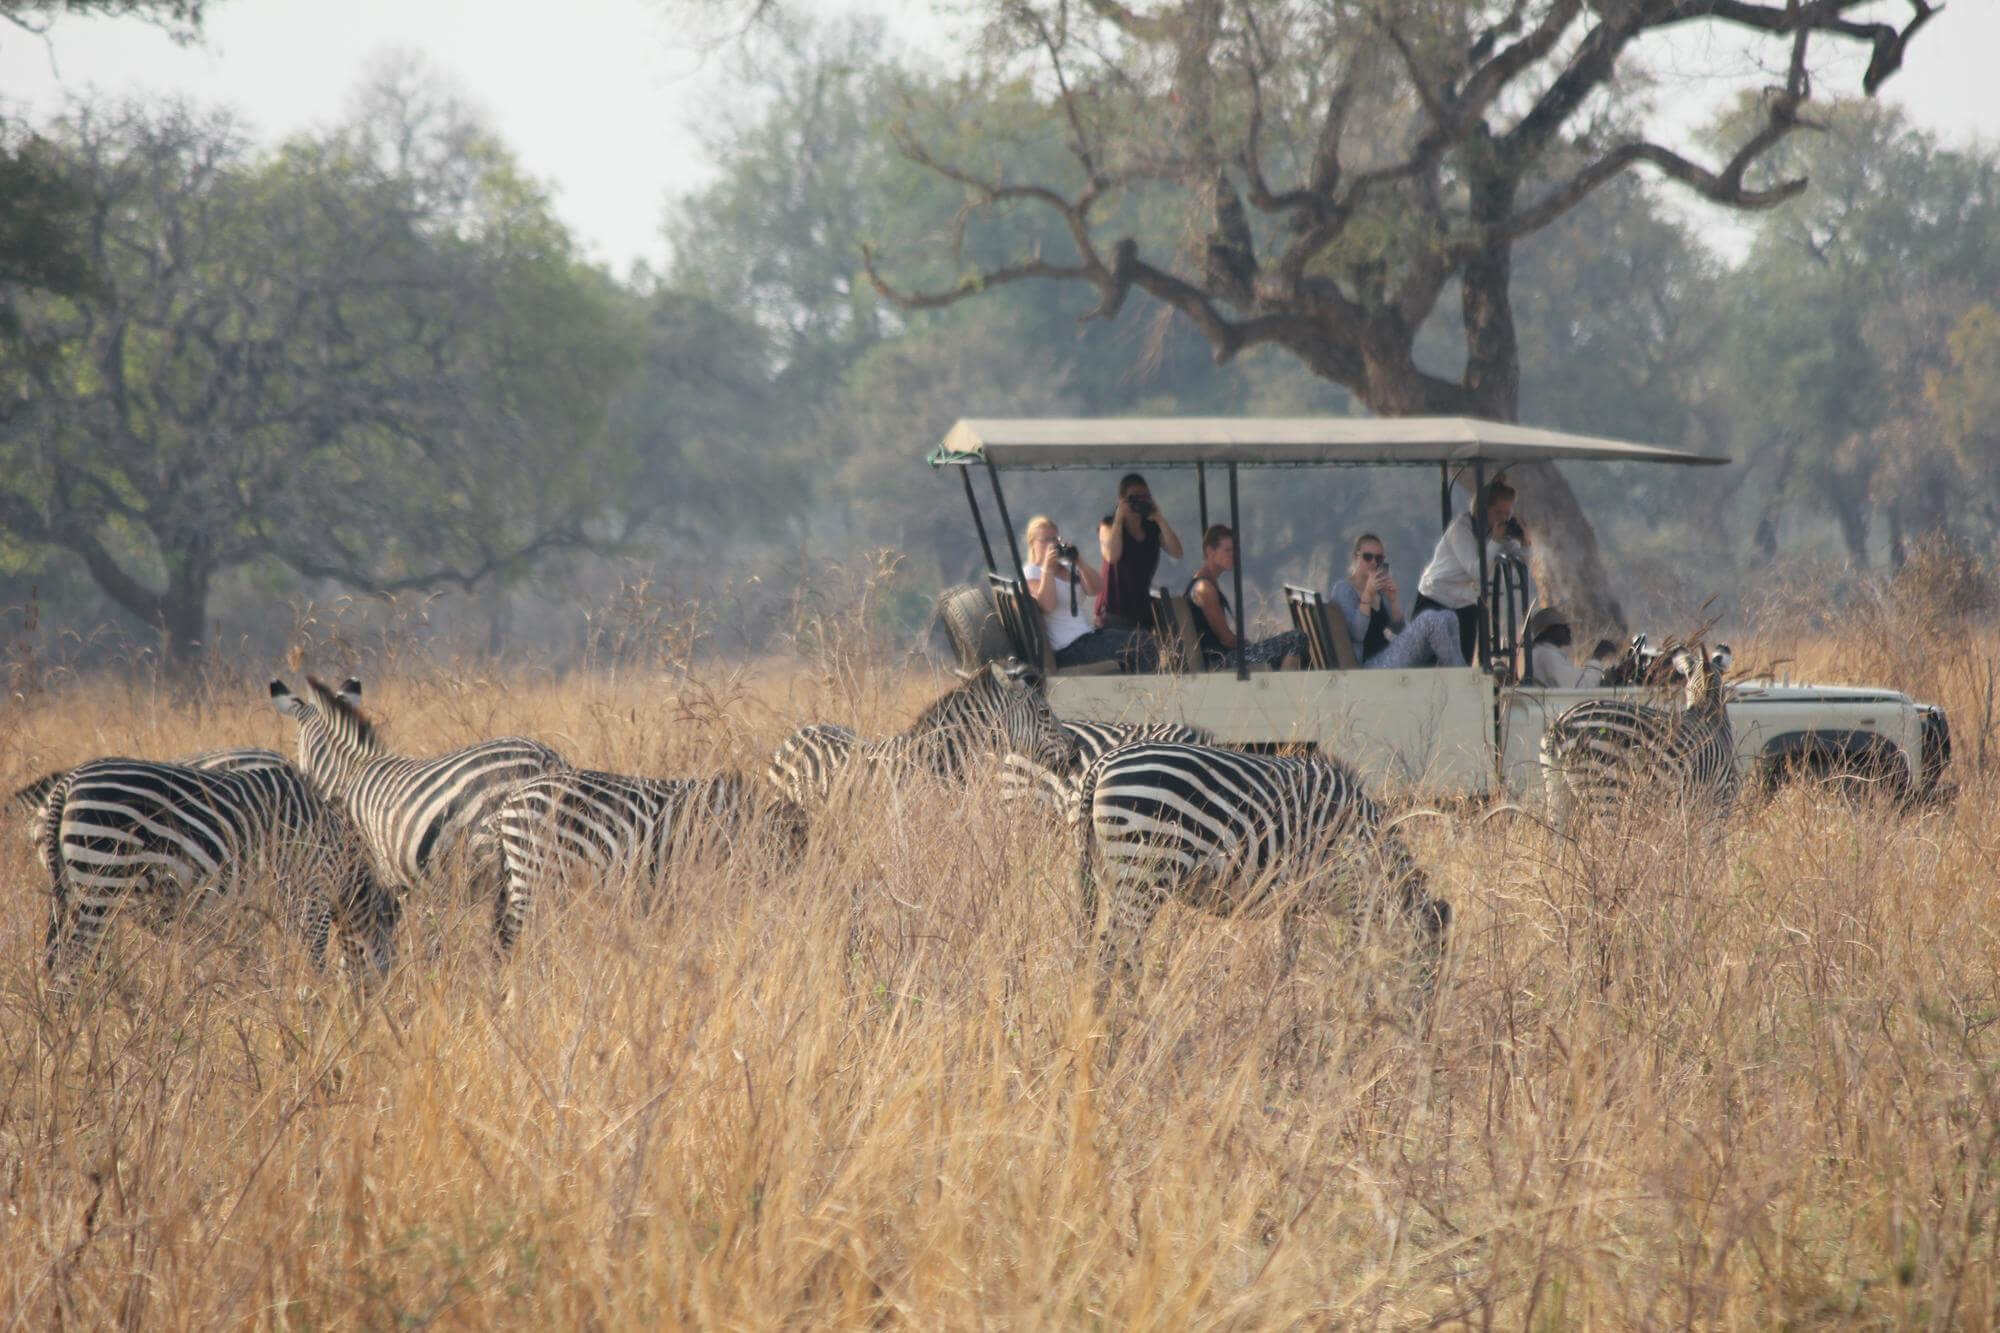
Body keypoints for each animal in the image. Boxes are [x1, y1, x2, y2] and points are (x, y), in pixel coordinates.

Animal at [40, 758, 400, 990]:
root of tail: (67, 784)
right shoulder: (310, 895)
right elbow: (312, 961)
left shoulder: (249, 912)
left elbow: (252, 965)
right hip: (102, 877)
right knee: (70, 968)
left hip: (72, 889)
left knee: (63, 963)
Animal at [1075, 741, 1451, 997]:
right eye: (1429, 975)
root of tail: (1101, 765)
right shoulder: (1355, 893)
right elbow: (1355, 963)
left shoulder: (1297, 903)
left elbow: (1288, 959)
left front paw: (1282, 1012)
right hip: (1146, 869)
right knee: (1121, 951)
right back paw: (1136, 1016)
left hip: (1114, 876)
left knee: (1110, 951)